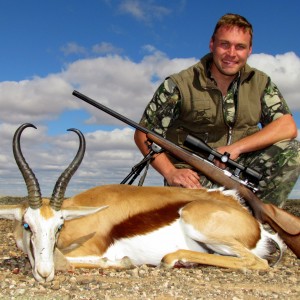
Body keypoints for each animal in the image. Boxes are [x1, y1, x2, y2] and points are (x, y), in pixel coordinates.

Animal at [0, 122, 284, 282]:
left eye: (59, 226)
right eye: (27, 225)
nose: (44, 273)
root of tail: (257, 226)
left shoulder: (91, 249)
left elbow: (65, 259)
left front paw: (122, 262)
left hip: (198, 224)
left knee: (256, 262)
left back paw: (175, 259)